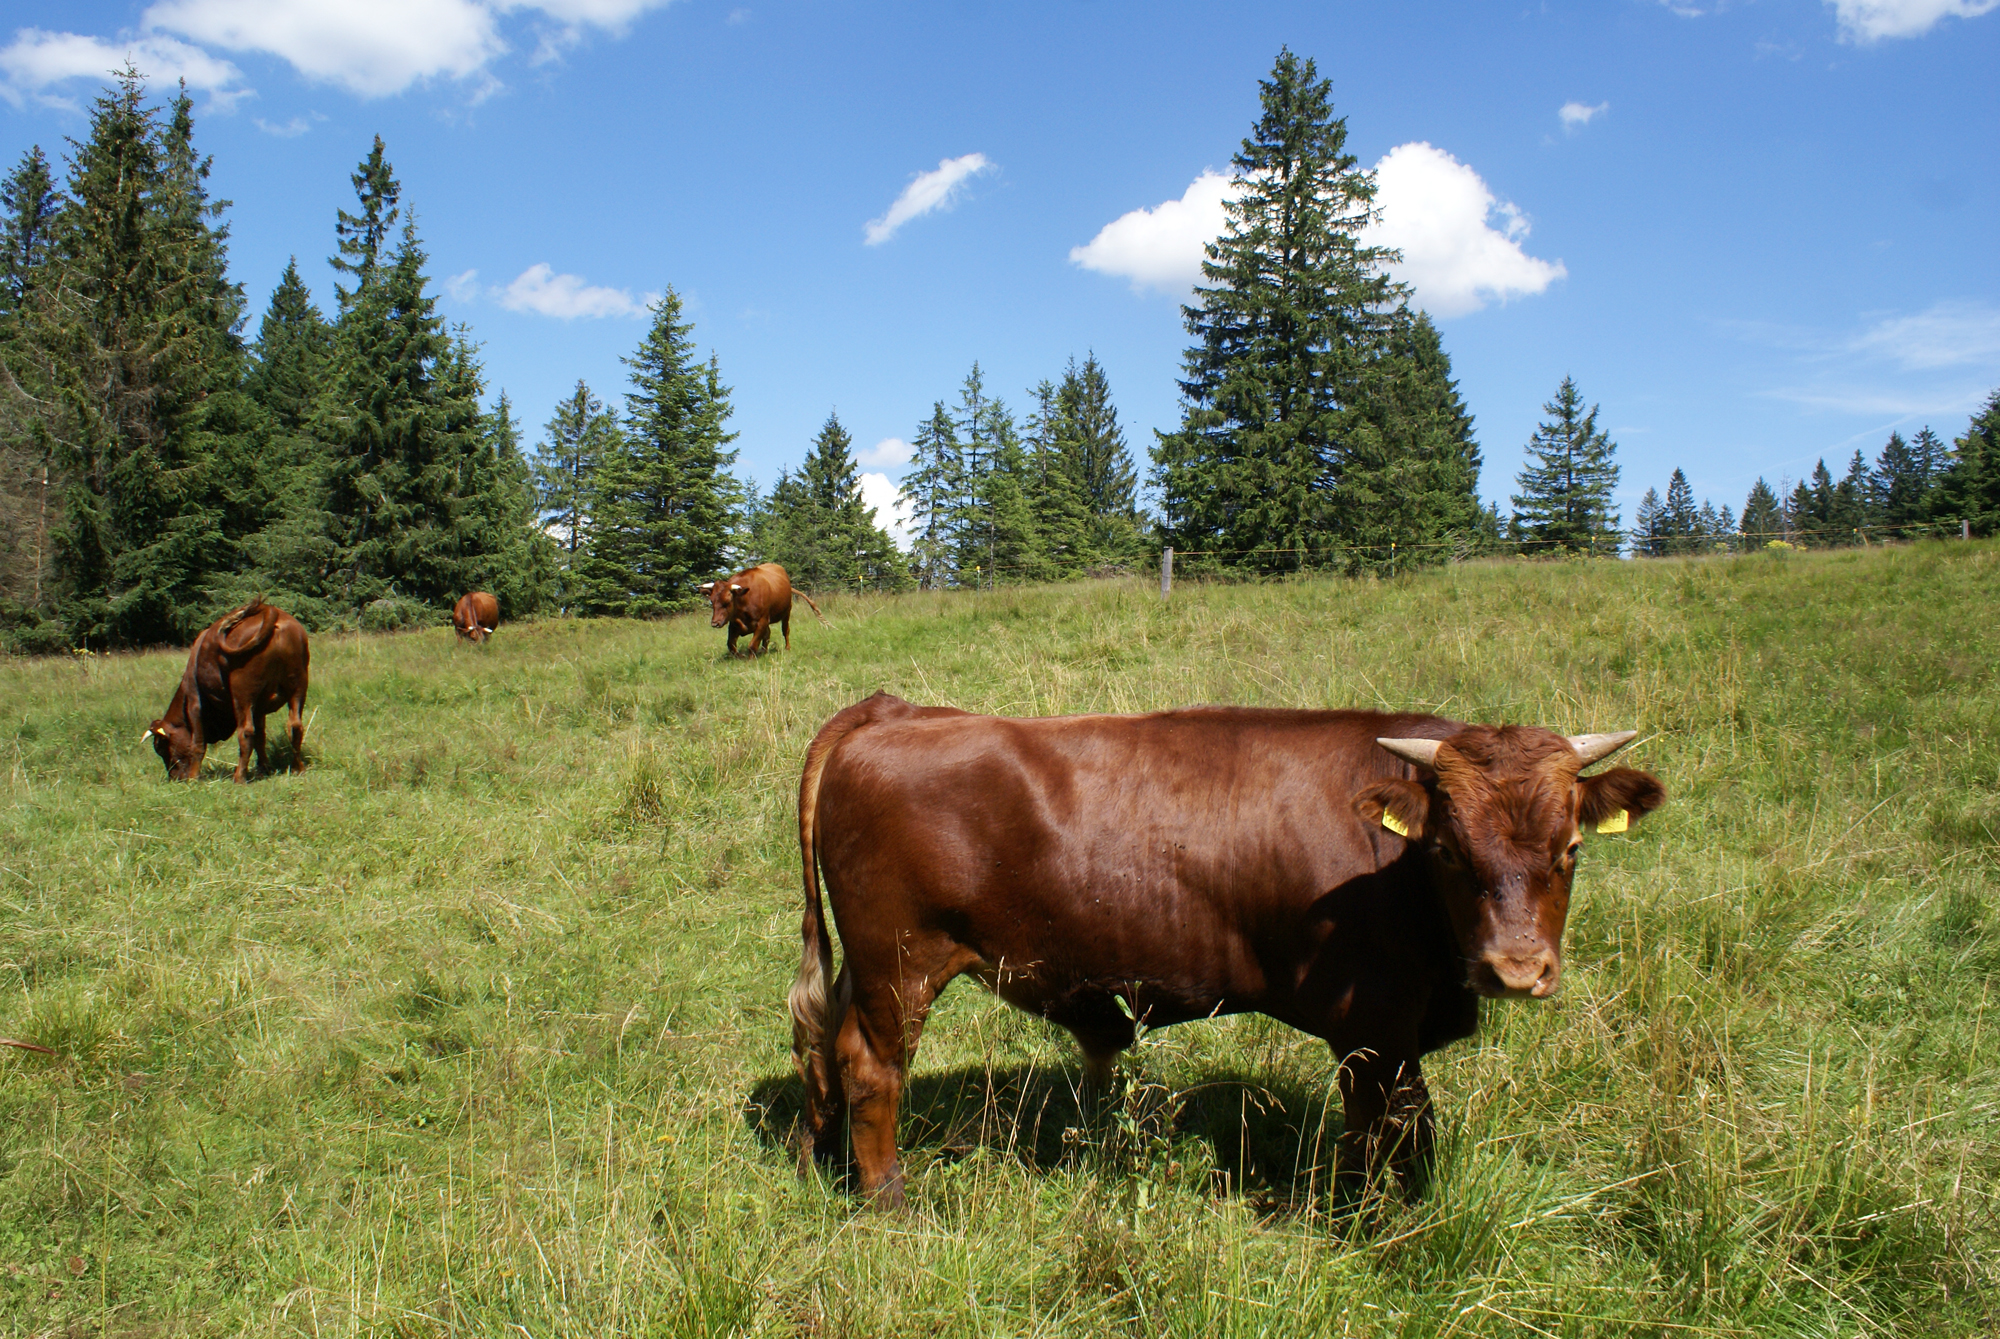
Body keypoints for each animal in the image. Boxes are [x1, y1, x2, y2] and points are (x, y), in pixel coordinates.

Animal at [146, 599, 310, 787]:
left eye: (160, 747)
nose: (174, 777)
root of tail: (270, 610)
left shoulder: (195, 700)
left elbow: (198, 743)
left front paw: (194, 778)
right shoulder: (259, 708)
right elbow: (261, 737)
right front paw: (264, 768)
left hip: (242, 693)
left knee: (246, 732)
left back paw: (239, 777)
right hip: (298, 686)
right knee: (295, 726)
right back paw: (298, 768)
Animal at [788, 699, 1664, 1215]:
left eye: (1572, 847)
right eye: (1448, 850)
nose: (1515, 969)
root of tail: (891, 710)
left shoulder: (1401, 1034)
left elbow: (1416, 1124)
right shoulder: (1372, 1031)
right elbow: (1377, 1130)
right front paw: (1367, 1219)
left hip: (864, 967)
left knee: (822, 1047)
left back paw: (822, 1157)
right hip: (899, 966)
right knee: (871, 1069)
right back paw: (890, 1201)